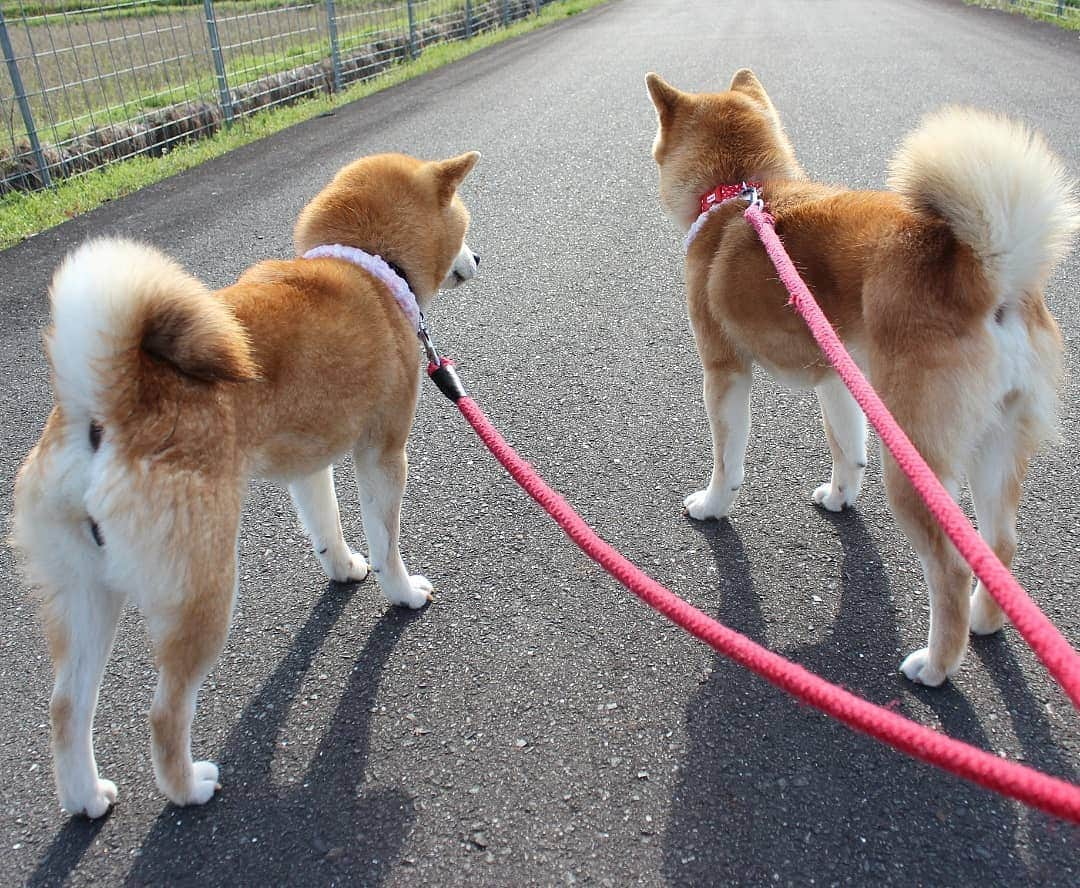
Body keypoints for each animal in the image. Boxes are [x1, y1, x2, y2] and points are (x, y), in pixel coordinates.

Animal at [11, 151, 481, 821]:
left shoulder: (308, 461)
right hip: (202, 588)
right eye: (466, 225)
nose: (480, 258)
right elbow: (386, 538)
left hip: (85, 595)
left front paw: (343, 568)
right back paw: (187, 787)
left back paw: (86, 796)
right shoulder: (382, 451)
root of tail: (104, 408)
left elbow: (327, 525)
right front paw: (401, 591)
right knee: (164, 713)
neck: (366, 263)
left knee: (66, 707)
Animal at [643, 71, 1075, 687]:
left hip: (914, 460)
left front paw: (713, 504)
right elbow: (846, 447)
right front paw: (840, 496)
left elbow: (727, 458)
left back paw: (936, 665)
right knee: (1000, 546)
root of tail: (986, 279)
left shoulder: (724, 369)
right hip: (994, 447)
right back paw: (984, 623)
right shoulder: (837, 377)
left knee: (952, 570)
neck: (739, 193)